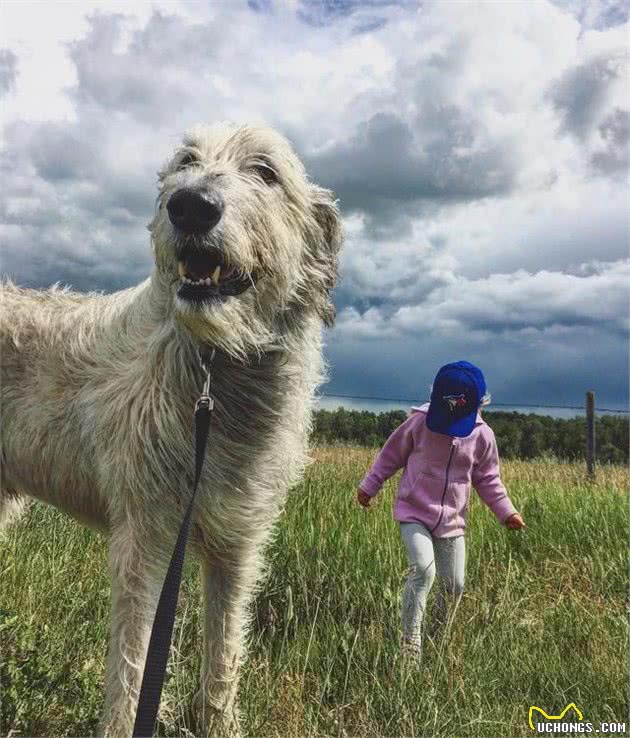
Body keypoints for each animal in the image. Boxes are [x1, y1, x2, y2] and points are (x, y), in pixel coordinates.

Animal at [0, 123, 344, 732]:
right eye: (186, 161)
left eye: (265, 171)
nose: (190, 205)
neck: (216, 368)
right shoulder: (146, 534)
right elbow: (134, 659)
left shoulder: (238, 544)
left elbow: (225, 647)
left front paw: (220, 725)